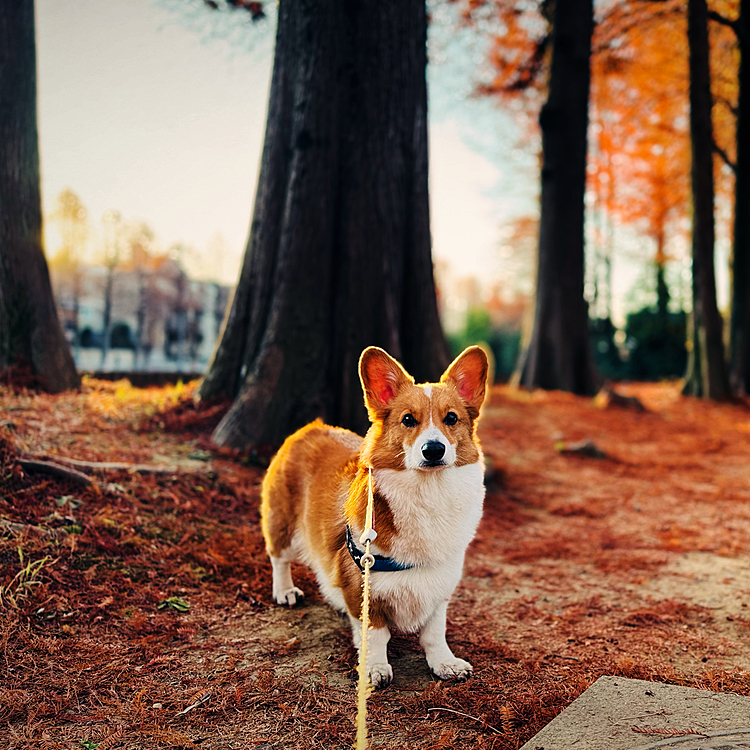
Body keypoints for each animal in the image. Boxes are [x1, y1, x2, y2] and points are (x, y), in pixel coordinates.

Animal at [262, 348, 490, 692]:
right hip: (283, 524)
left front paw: (445, 664)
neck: (428, 491)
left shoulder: (439, 583)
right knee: (279, 557)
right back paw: (284, 590)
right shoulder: (361, 585)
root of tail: (309, 428)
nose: (433, 450)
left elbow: (435, 632)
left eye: (451, 418)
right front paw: (374, 668)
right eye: (408, 420)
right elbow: (376, 635)